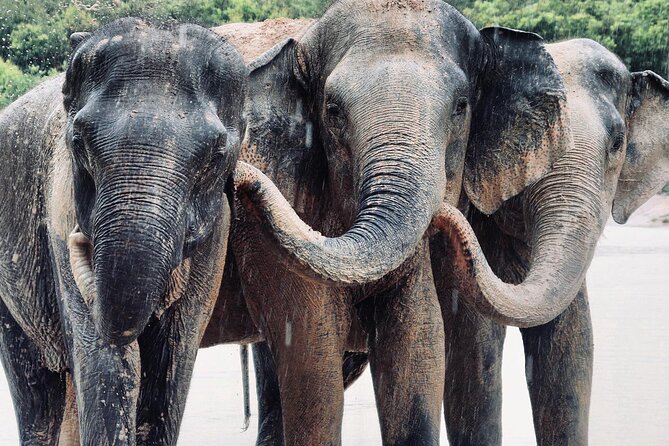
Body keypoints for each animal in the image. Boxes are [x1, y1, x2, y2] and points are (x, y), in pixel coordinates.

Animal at [0, 18, 248, 445]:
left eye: (216, 157)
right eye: (79, 141)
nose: (81, 239)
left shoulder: (219, 231)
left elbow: (170, 363)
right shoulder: (59, 207)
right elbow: (107, 363)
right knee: (35, 387)